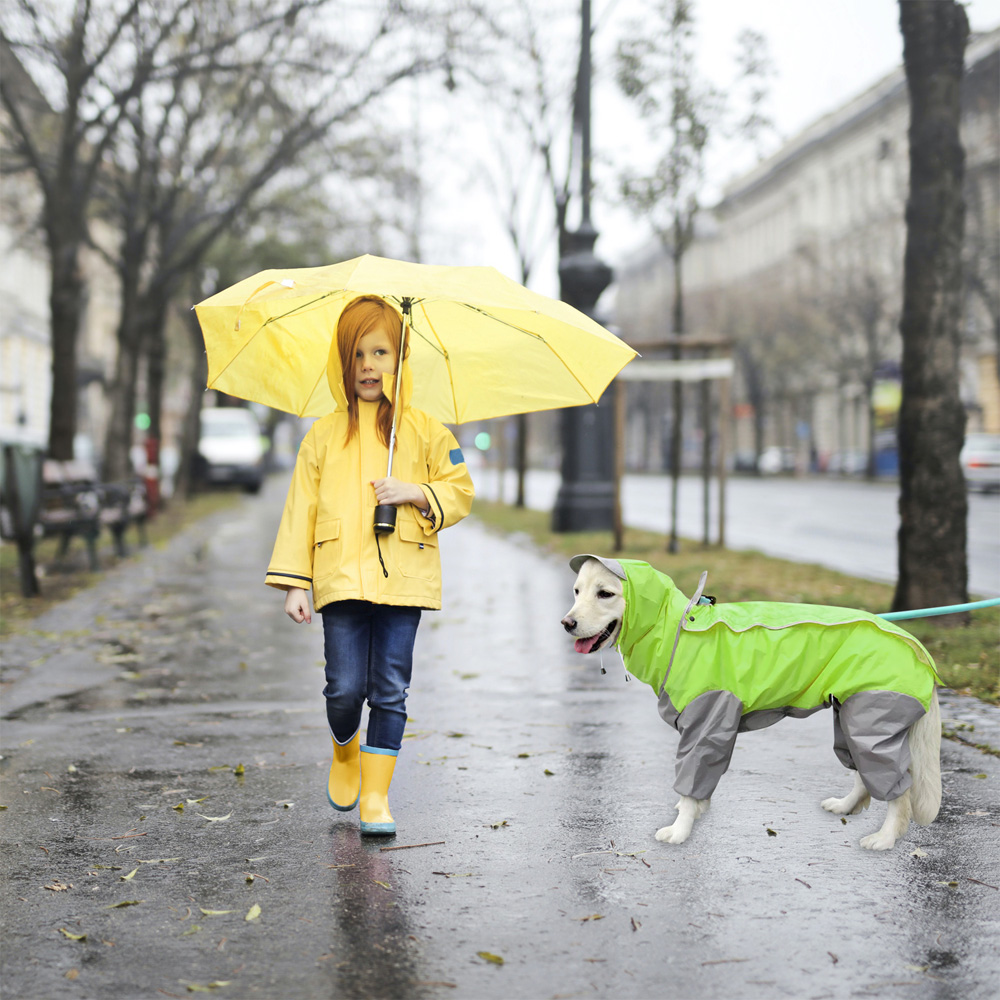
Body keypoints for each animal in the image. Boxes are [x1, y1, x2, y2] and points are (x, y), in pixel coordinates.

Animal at [568, 556, 940, 852]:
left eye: (605, 593)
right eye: (576, 591)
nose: (566, 623)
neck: (676, 630)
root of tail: (917, 646)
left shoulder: (706, 721)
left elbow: (690, 783)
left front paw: (680, 830)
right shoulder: (710, 728)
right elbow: (699, 786)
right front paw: (697, 811)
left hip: (870, 721)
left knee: (898, 790)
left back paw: (886, 837)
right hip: (851, 718)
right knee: (865, 774)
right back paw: (845, 806)